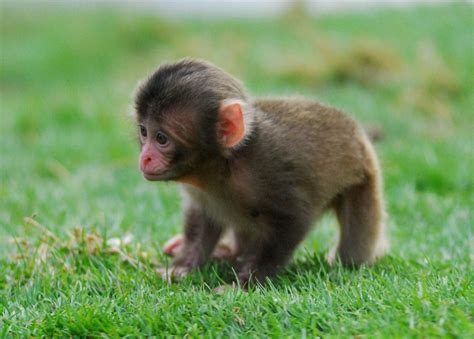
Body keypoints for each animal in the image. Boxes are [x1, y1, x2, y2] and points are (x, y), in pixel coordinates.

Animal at [135, 57, 386, 284]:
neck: (223, 165)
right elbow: (203, 219)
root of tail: (360, 137)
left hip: (364, 178)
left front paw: (246, 283)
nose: (145, 157)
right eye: (144, 132)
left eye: (161, 138)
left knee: (353, 249)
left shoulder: (269, 170)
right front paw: (183, 266)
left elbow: (293, 221)